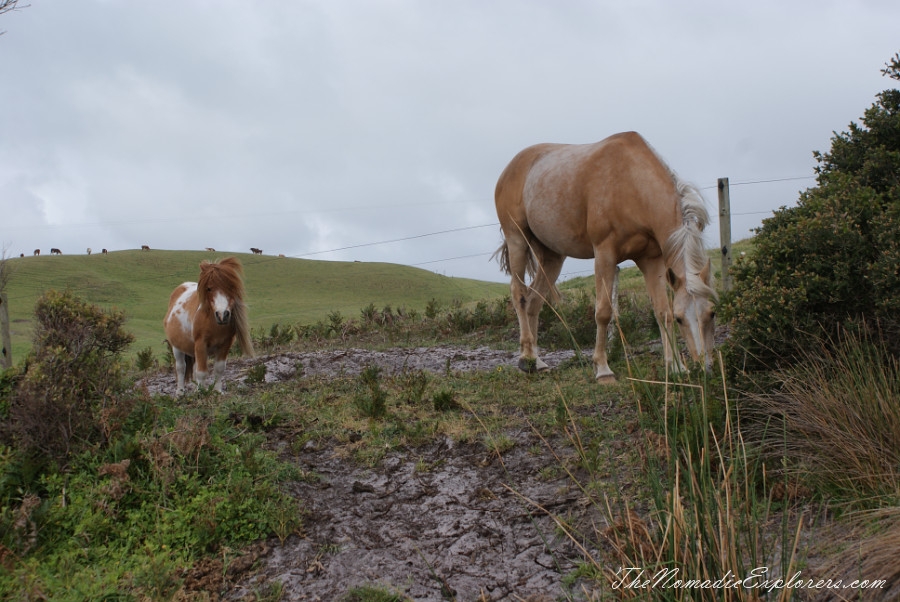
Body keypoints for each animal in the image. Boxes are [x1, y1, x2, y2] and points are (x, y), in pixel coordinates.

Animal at [163, 254, 255, 392]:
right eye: (209, 288)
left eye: (231, 287)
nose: (222, 315)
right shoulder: (201, 344)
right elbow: (201, 372)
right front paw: (201, 393)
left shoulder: (225, 344)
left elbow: (219, 369)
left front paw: (216, 391)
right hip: (177, 347)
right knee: (181, 367)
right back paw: (180, 392)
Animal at [492, 131, 716, 380]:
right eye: (681, 319)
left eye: (712, 313)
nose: (705, 369)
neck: (631, 182)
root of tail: (511, 167)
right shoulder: (604, 254)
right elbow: (604, 312)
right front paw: (602, 369)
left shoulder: (652, 260)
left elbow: (661, 310)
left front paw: (675, 366)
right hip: (517, 241)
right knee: (519, 294)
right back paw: (526, 359)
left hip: (552, 256)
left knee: (534, 300)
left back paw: (536, 360)